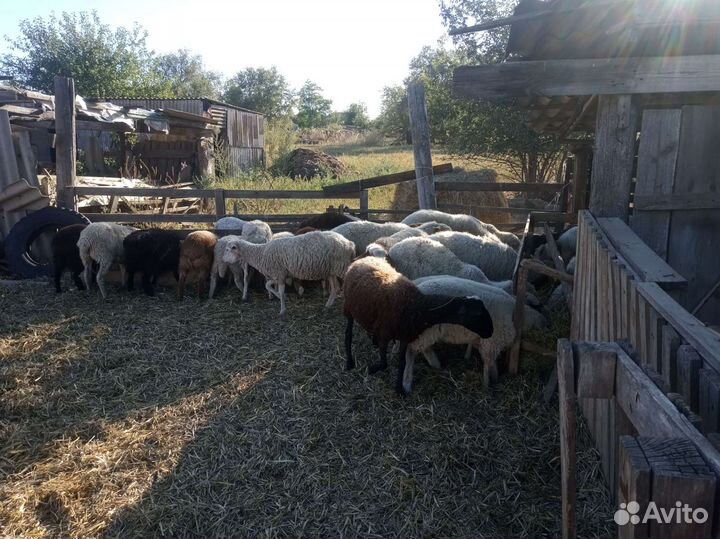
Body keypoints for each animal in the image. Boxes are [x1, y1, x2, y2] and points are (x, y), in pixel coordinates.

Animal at [222, 230, 355, 315]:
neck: (261, 253)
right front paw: (278, 296)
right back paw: (327, 306)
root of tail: (349, 243)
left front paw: (282, 309)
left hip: (342, 267)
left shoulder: (280, 273)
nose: (223, 260)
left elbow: (280, 291)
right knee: (335, 288)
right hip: (331, 270)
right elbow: (268, 285)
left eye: (228, 249)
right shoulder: (279, 274)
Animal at [342, 257, 493, 387]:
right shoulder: (386, 334)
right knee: (348, 334)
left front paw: (399, 388)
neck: (419, 306)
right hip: (349, 308)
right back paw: (349, 362)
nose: (490, 332)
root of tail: (359, 260)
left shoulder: (405, 336)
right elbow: (384, 364)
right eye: (478, 314)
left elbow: (402, 363)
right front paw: (372, 369)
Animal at [408, 276, 547, 392]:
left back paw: (436, 365)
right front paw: (487, 385)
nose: (546, 322)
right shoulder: (493, 340)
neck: (515, 314)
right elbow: (488, 363)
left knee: (425, 349)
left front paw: (494, 377)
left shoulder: (484, 340)